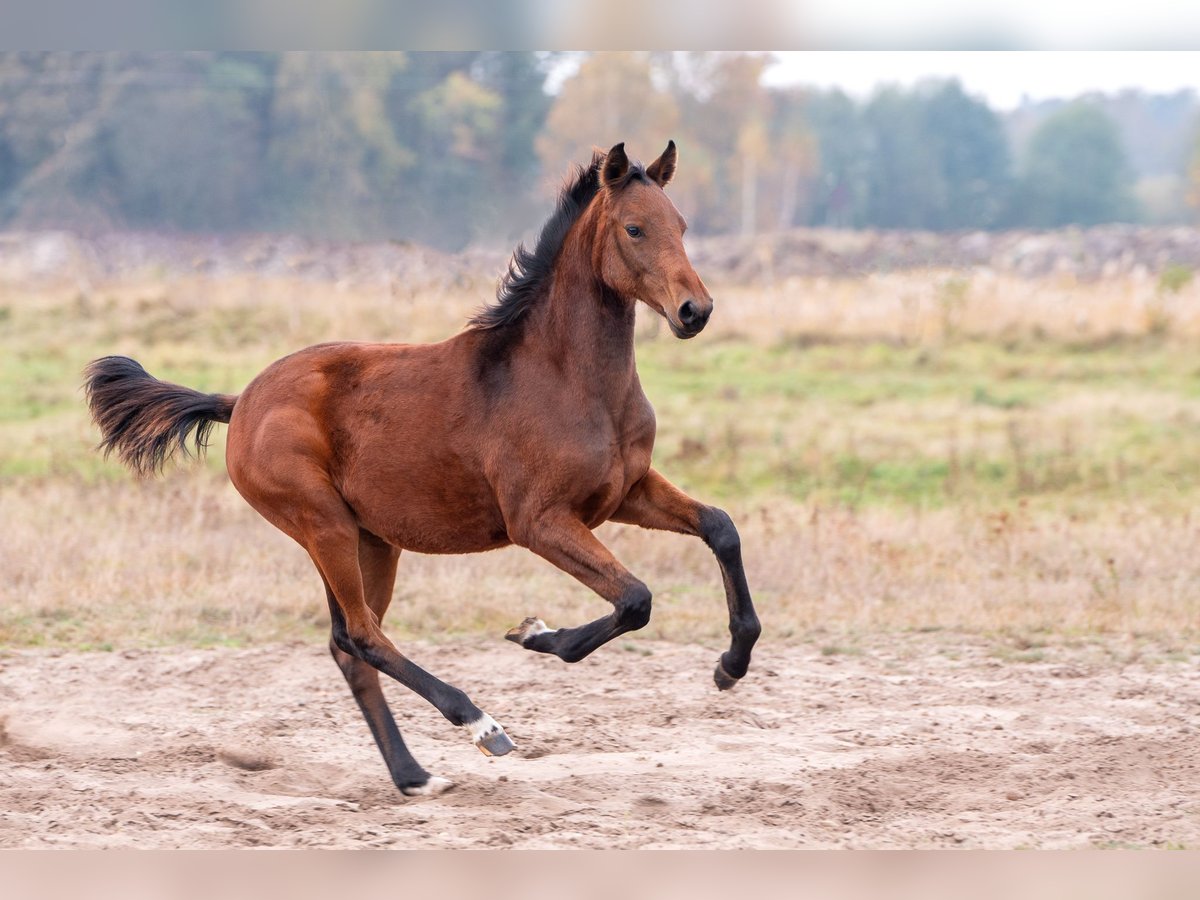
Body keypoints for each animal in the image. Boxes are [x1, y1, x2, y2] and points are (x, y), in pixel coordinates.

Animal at [84, 141, 758, 796]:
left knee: (351, 646)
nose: (695, 310)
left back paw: (414, 775)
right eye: (635, 228)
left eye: (682, 225)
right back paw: (481, 726)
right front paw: (535, 633)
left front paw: (731, 666)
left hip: (373, 540)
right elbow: (635, 598)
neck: (568, 378)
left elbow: (720, 528)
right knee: (362, 634)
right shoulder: (539, 522)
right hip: (321, 524)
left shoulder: (627, 492)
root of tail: (241, 401)